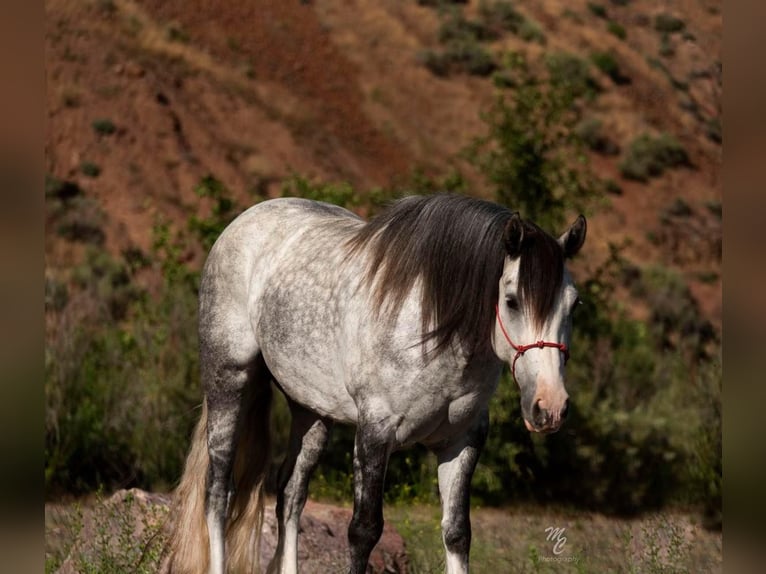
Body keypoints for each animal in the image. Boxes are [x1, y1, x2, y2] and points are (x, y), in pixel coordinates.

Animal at [166, 195, 588, 574]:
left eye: (574, 304)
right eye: (512, 300)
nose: (550, 406)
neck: (433, 327)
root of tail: (241, 224)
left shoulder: (462, 441)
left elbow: (457, 534)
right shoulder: (375, 434)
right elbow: (364, 531)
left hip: (312, 413)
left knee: (290, 496)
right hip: (229, 382)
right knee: (218, 491)